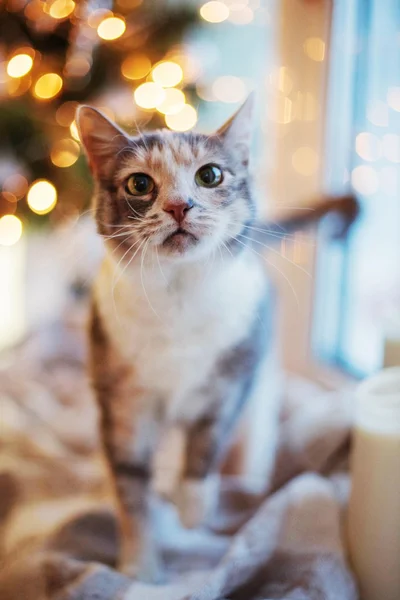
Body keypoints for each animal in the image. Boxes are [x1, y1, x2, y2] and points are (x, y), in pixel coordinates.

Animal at [76, 98, 358, 580]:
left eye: (209, 175)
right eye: (139, 183)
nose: (179, 206)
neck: (178, 298)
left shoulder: (230, 382)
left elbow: (205, 446)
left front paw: (194, 510)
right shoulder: (124, 404)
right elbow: (131, 488)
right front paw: (140, 569)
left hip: (260, 386)